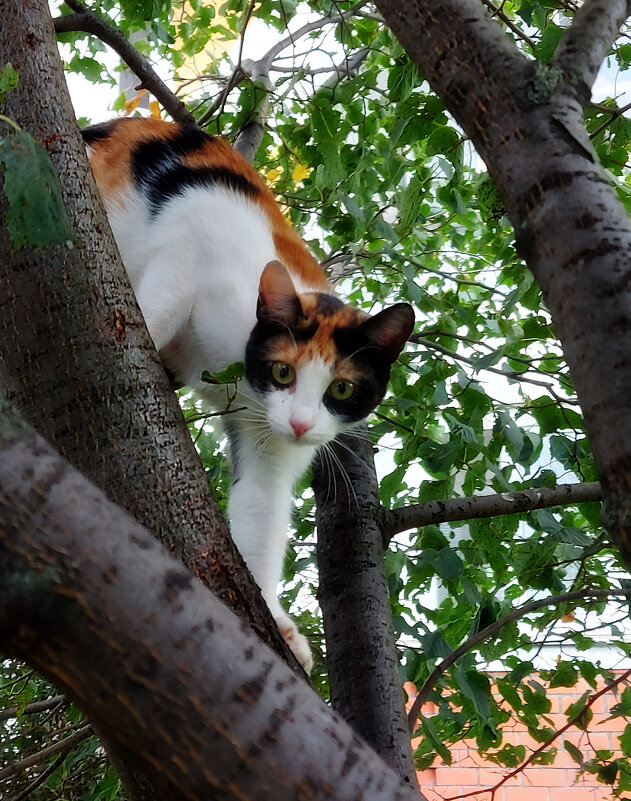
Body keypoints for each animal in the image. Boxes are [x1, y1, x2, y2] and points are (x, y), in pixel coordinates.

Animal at [84, 117, 418, 668]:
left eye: (342, 389)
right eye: (283, 372)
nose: (301, 422)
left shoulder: (271, 446)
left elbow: (261, 511)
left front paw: (276, 623)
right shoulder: (188, 251)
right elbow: (148, 313)